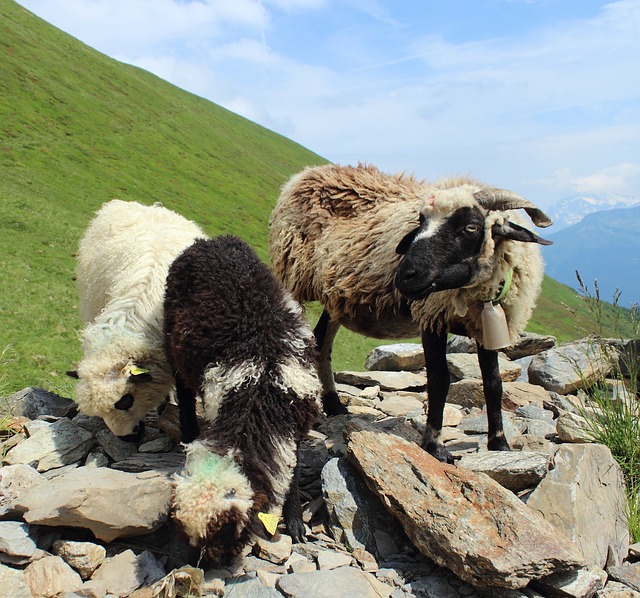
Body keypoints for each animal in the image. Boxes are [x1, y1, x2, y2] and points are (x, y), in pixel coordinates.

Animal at [161, 236, 318, 568]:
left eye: (222, 531)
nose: (175, 565)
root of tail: (208, 241)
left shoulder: (298, 424)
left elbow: (294, 471)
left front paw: (296, 523)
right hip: (172, 342)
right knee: (184, 392)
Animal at [268, 163, 552, 464]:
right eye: (420, 222)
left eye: (471, 227)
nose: (404, 276)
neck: (479, 296)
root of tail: (307, 173)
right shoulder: (432, 315)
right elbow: (439, 380)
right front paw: (434, 446)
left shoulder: (485, 326)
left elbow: (494, 384)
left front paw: (499, 443)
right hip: (292, 277)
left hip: (335, 294)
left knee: (322, 343)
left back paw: (334, 405)